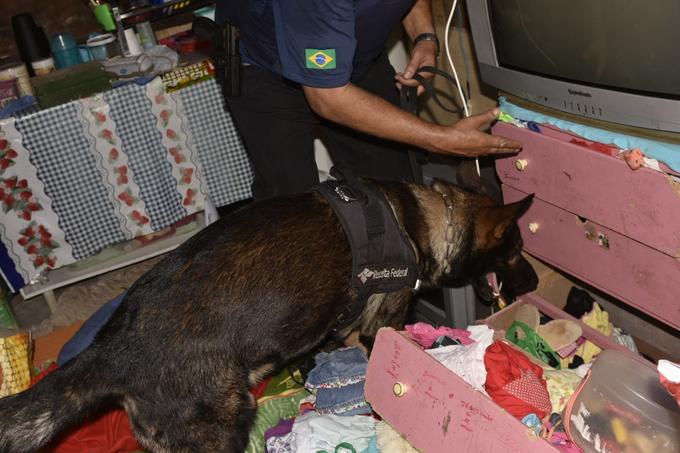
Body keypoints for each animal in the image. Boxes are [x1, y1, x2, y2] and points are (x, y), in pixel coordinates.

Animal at [0, 178, 537, 452]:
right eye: (515, 251)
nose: (534, 282)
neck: (429, 216)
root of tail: (113, 349)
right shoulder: (383, 321)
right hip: (222, 428)